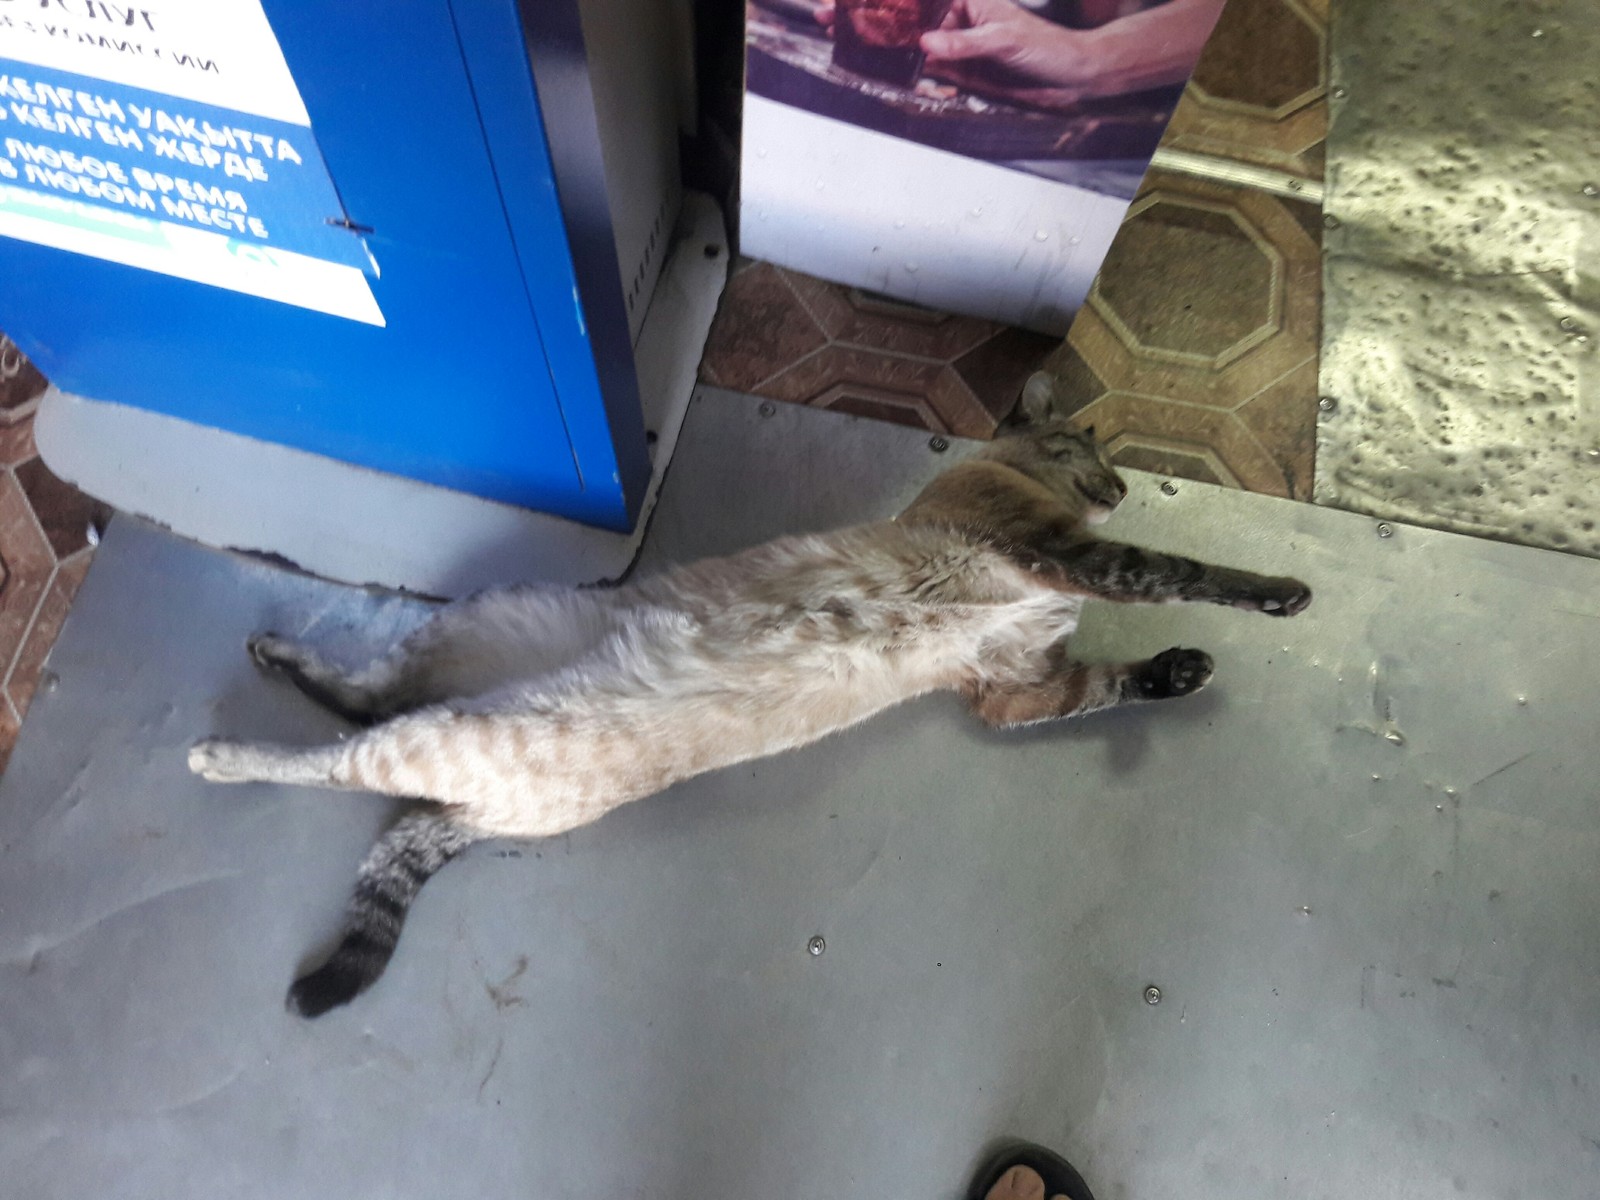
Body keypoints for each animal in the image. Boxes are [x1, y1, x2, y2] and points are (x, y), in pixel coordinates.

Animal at [187, 376, 1312, 1017]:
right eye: (1087, 450)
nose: (1120, 484)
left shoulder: (1012, 689)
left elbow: (1104, 686)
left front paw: (1177, 672)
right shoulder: (1056, 554)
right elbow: (1183, 571)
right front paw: (1280, 594)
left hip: (470, 713)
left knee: (368, 713)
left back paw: (275, 662)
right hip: (469, 693)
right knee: (335, 754)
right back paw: (223, 749)